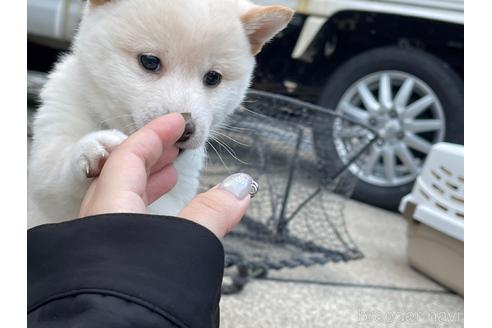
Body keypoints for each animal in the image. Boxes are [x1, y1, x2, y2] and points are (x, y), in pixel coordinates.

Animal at [26, 0, 292, 228]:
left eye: (213, 78)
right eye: (150, 61)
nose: (185, 128)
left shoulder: (176, 192)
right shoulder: (46, 169)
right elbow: (54, 178)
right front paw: (94, 148)